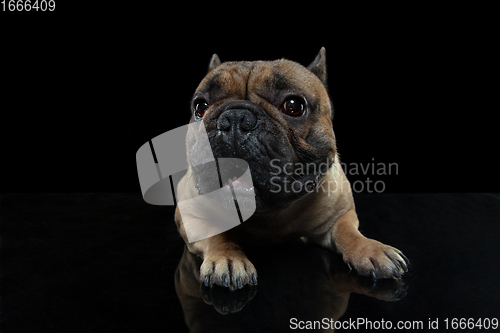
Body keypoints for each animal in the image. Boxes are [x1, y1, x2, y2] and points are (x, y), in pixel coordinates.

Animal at [174, 48, 408, 290]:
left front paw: (370, 249)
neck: (268, 214)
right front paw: (228, 258)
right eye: (200, 107)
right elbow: (218, 234)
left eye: (294, 106)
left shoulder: (340, 215)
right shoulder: (190, 216)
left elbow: (348, 232)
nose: (235, 119)